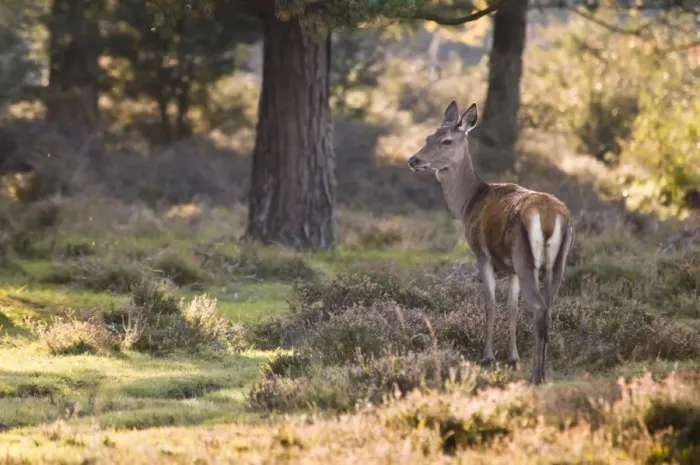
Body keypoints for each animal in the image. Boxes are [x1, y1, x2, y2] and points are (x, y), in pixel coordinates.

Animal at [407, 100, 574, 385]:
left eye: (446, 141)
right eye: (428, 137)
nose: (413, 160)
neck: (468, 203)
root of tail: (550, 218)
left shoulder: (482, 254)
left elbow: (490, 303)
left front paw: (488, 356)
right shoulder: (512, 268)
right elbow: (511, 307)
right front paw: (512, 357)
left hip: (526, 258)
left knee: (539, 309)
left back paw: (537, 375)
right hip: (556, 262)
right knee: (550, 309)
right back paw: (543, 372)